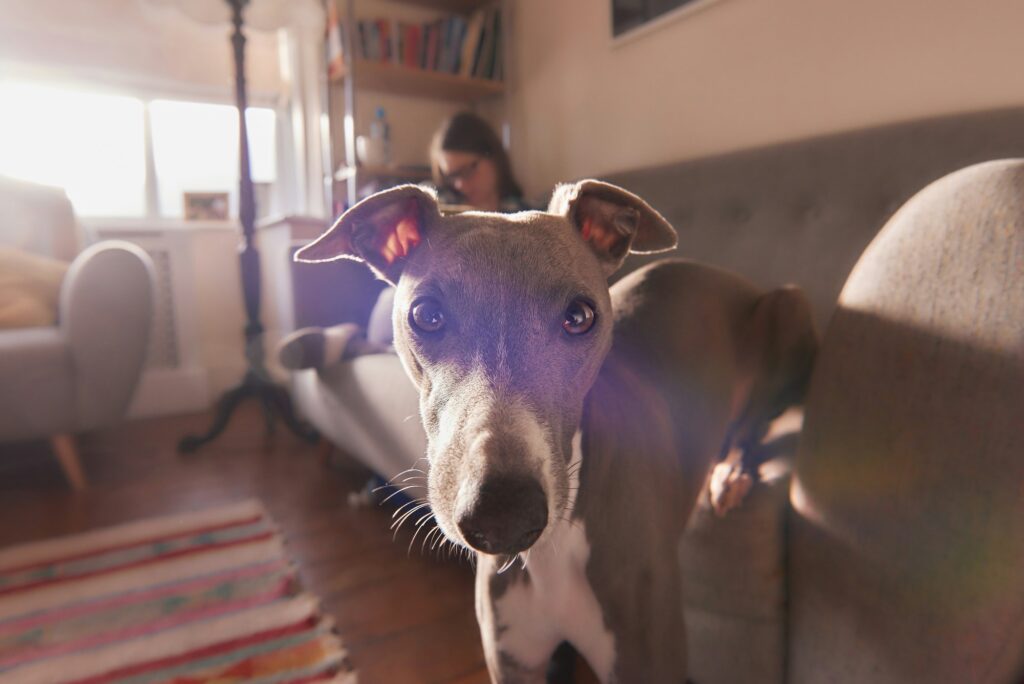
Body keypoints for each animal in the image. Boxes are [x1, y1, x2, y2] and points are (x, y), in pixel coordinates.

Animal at [294, 183, 815, 684]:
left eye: (580, 316)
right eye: (426, 314)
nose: (503, 516)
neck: (552, 552)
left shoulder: (647, 662)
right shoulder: (513, 661)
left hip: (788, 307)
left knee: (750, 423)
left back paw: (730, 473)